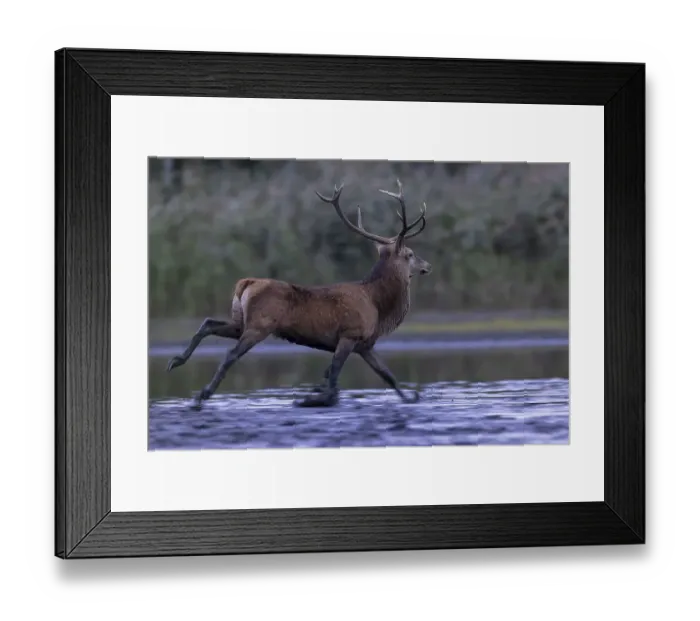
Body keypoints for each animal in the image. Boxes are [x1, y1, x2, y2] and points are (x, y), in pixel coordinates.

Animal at [166, 179, 432, 410]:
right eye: (410, 254)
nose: (427, 265)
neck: (379, 306)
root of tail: (247, 282)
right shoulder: (350, 334)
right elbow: (334, 383)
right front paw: (309, 398)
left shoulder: (365, 344)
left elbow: (387, 376)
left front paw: (412, 397)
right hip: (260, 325)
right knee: (230, 354)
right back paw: (201, 394)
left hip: (241, 322)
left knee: (209, 322)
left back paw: (177, 361)